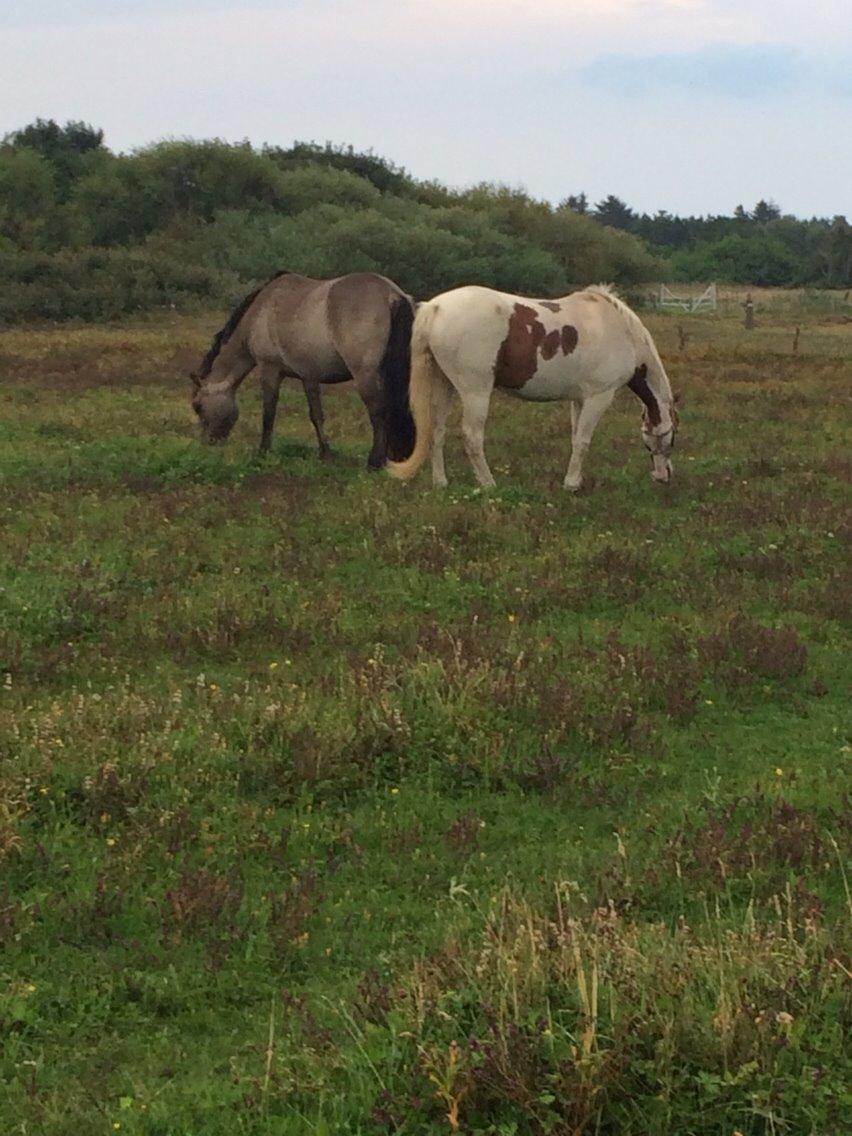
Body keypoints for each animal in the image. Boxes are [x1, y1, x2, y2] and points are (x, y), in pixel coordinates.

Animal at [194, 272, 420, 468]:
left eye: (197, 406)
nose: (207, 443)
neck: (260, 312)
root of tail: (392, 294)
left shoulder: (270, 370)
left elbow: (269, 413)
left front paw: (264, 451)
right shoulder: (308, 376)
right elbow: (316, 415)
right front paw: (325, 454)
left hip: (365, 375)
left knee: (378, 411)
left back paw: (374, 462)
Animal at [388, 281, 681, 490]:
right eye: (672, 436)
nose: (663, 476)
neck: (621, 332)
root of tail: (435, 308)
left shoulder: (580, 399)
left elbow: (576, 438)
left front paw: (575, 480)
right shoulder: (599, 397)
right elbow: (583, 441)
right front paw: (571, 485)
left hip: (445, 385)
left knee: (436, 430)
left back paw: (441, 482)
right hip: (475, 391)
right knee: (472, 436)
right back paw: (488, 484)